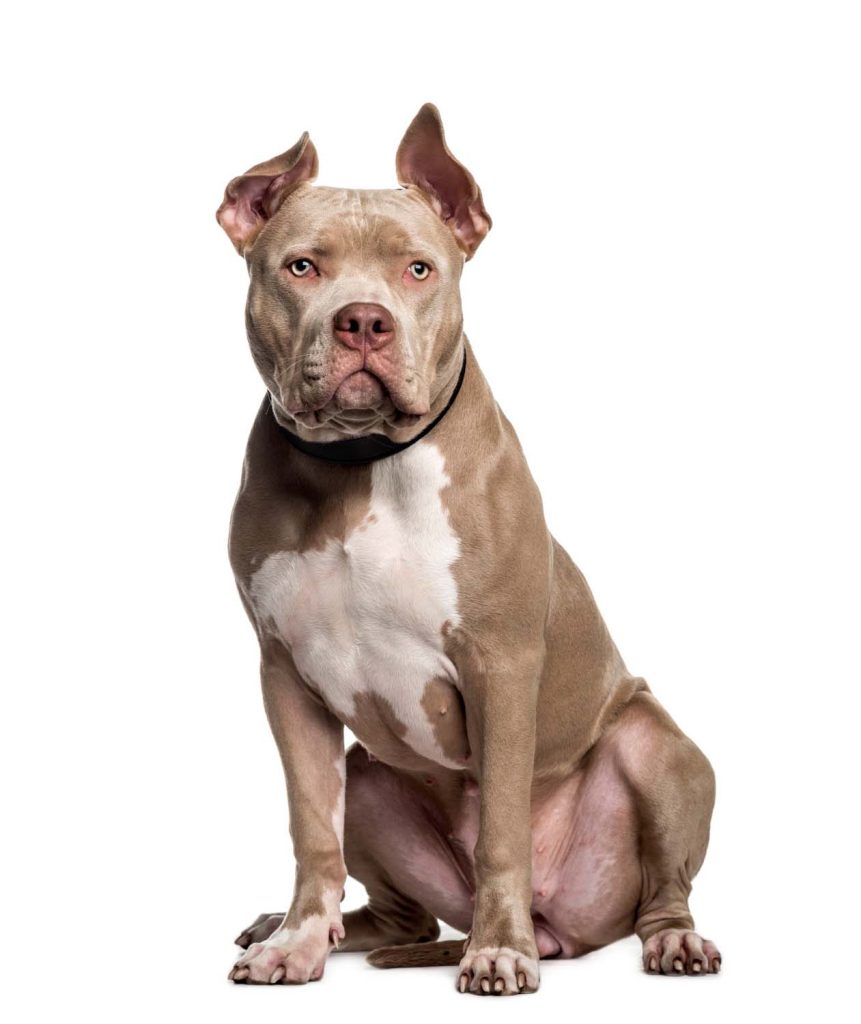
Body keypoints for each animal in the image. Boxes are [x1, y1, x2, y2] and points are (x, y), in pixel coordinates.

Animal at [214, 103, 720, 991]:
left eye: (418, 270)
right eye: (301, 267)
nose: (363, 320)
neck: (360, 468)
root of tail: (567, 930)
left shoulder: (501, 664)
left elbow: (503, 832)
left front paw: (498, 951)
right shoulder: (285, 675)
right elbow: (311, 830)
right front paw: (296, 942)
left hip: (656, 749)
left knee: (662, 890)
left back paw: (666, 942)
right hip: (369, 780)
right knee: (397, 910)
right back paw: (301, 927)